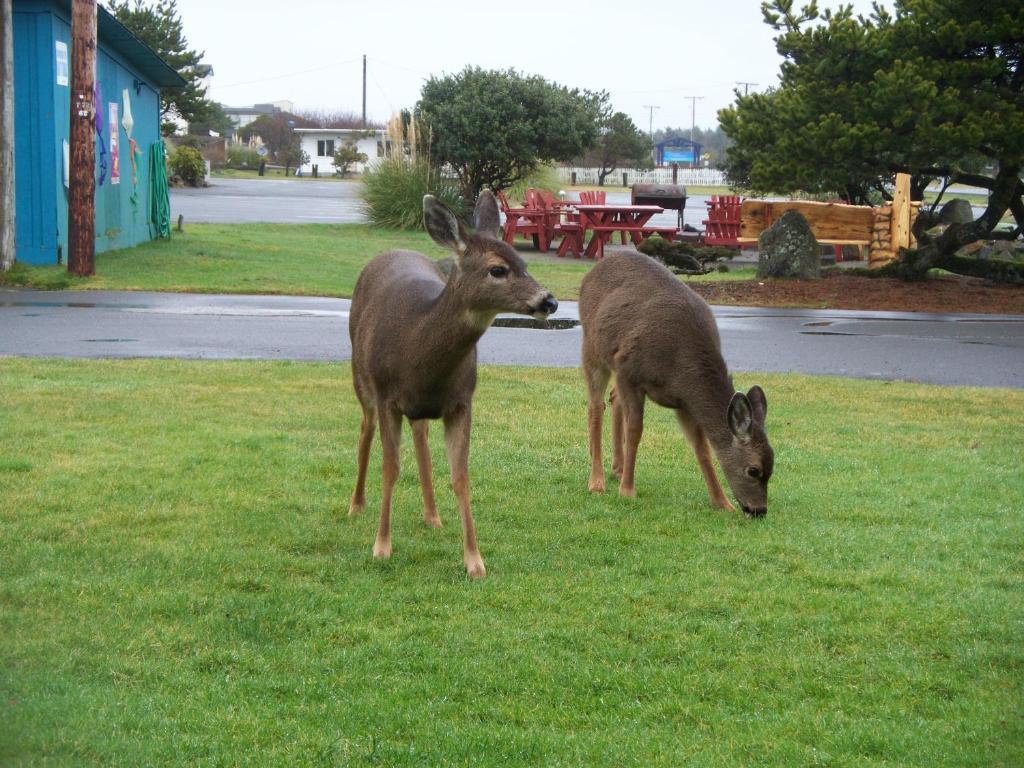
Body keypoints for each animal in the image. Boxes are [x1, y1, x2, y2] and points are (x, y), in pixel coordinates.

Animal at [352, 191, 561, 577]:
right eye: (498, 269)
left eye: (523, 262)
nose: (549, 301)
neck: (418, 352)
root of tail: (390, 251)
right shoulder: (388, 397)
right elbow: (391, 468)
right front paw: (381, 547)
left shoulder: (462, 401)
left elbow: (460, 476)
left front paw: (474, 561)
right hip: (361, 377)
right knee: (365, 428)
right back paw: (356, 505)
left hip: (418, 408)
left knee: (420, 435)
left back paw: (432, 515)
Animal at [581, 252, 770, 518]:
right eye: (753, 470)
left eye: (772, 467)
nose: (759, 510)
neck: (681, 366)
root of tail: (596, 266)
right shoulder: (630, 370)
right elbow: (635, 430)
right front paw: (627, 490)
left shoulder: (684, 401)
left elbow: (701, 446)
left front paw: (722, 503)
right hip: (593, 347)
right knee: (596, 405)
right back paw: (596, 481)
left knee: (613, 397)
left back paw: (617, 467)